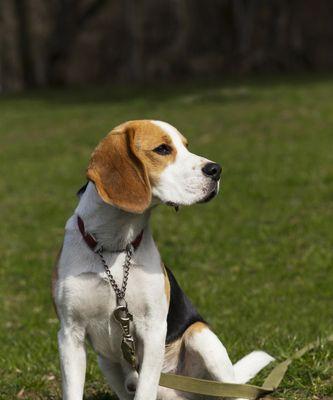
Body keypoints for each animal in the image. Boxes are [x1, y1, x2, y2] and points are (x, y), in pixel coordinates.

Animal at [53, 119, 272, 400]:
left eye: (186, 146)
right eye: (163, 149)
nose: (216, 169)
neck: (114, 246)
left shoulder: (153, 328)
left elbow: (145, 389)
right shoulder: (70, 335)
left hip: (201, 336)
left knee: (235, 390)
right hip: (107, 363)